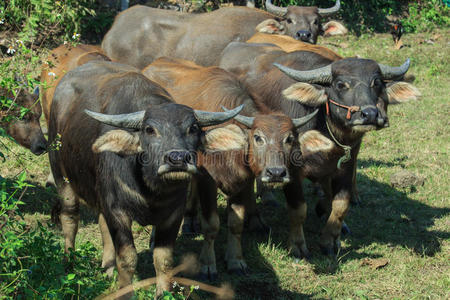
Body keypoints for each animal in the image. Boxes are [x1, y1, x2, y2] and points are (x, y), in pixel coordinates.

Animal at [142, 57, 332, 278]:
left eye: (290, 139)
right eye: (258, 137)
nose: (276, 173)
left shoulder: (242, 182)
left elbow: (236, 224)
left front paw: (235, 260)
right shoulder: (208, 181)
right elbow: (211, 225)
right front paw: (208, 264)